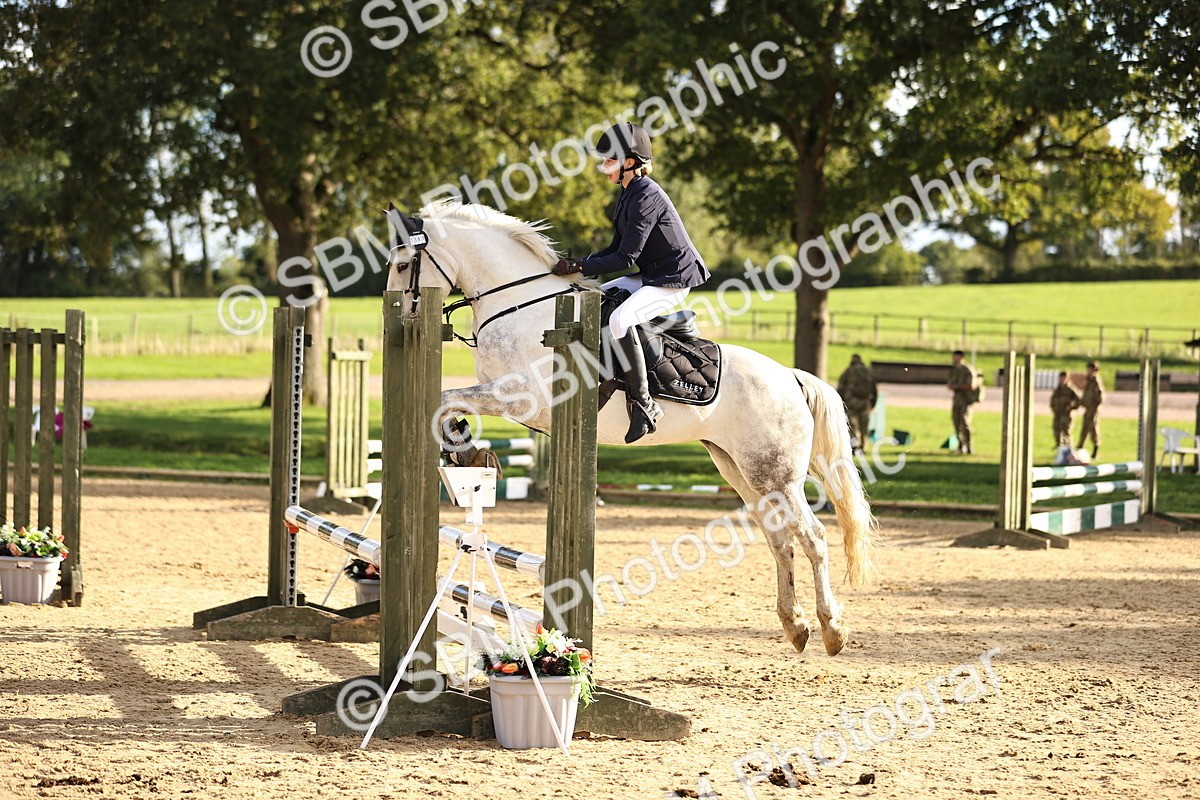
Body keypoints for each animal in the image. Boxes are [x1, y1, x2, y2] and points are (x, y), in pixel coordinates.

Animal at [385, 199, 878, 655]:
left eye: (404, 264)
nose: (402, 318)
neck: (518, 308)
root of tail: (791, 377)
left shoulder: (519, 397)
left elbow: (446, 401)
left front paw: (466, 450)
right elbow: (447, 404)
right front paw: (466, 453)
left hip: (776, 474)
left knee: (813, 538)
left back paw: (832, 630)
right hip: (741, 471)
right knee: (780, 540)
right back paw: (795, 626)